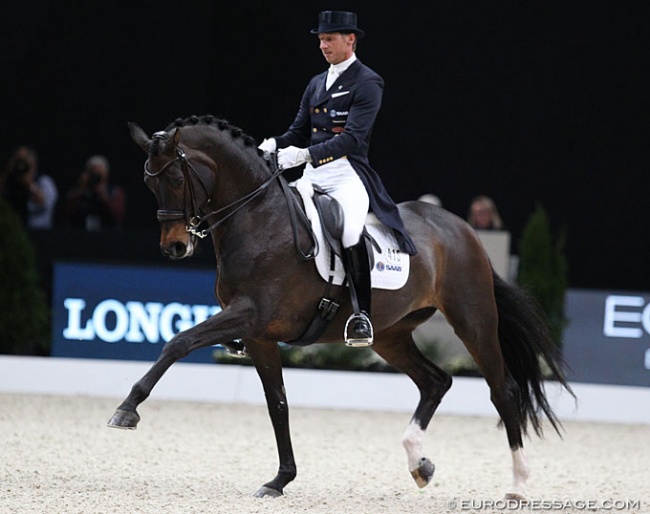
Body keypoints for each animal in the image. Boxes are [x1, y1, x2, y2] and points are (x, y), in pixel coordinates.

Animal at [107, 114, 572, 498]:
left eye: (175, 178)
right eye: (148, 183)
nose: (175, 248)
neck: (257, 216)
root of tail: (463, 229)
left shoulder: (249, 315)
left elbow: (178, 342)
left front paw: (126, 410)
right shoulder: (259, 336)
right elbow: (278, 405)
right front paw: (280, 480)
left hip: (472, 320)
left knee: (503, 390)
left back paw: (518, 485)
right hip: (390, 335)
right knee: (435, 381)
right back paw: (419, 464)